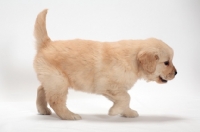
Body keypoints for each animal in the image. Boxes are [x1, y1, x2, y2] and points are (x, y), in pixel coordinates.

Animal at [33, 9, 177, 120]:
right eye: (166, 62)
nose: (176, 73)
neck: (133, 61)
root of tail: (47, 44)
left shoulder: (116, 89)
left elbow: (124, 100)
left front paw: (128, 113)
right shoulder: (109, 86)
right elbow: (126, 97)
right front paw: (114, 112)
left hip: (52, 80)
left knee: (41, 89)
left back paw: (43, 110)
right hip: (59, 81)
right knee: (55, 101)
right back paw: (70, 115)